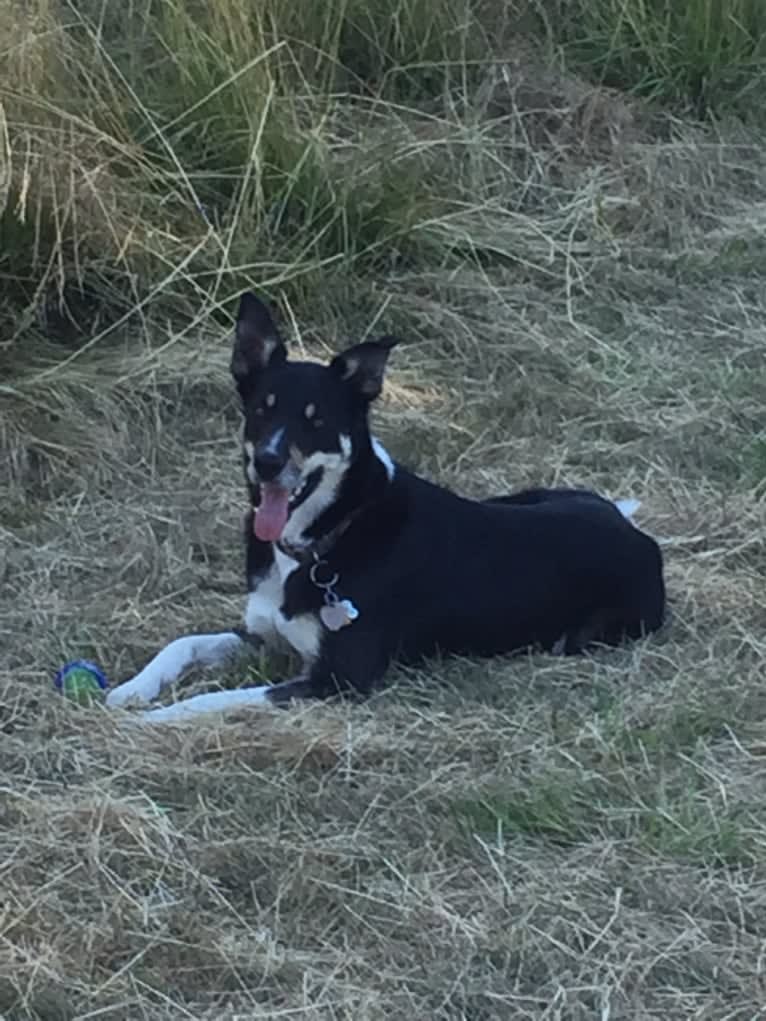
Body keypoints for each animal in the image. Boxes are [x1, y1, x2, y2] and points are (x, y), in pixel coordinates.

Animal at [106, 292, 665, 722]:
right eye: (262, 410)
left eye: (315, 420)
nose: (267, 463)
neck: (324, 539)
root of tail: (636, 534)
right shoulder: (264, 633)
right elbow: (184, 643)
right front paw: (131, 690)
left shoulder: (338, 677)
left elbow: (219, 698)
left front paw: (158, 717)